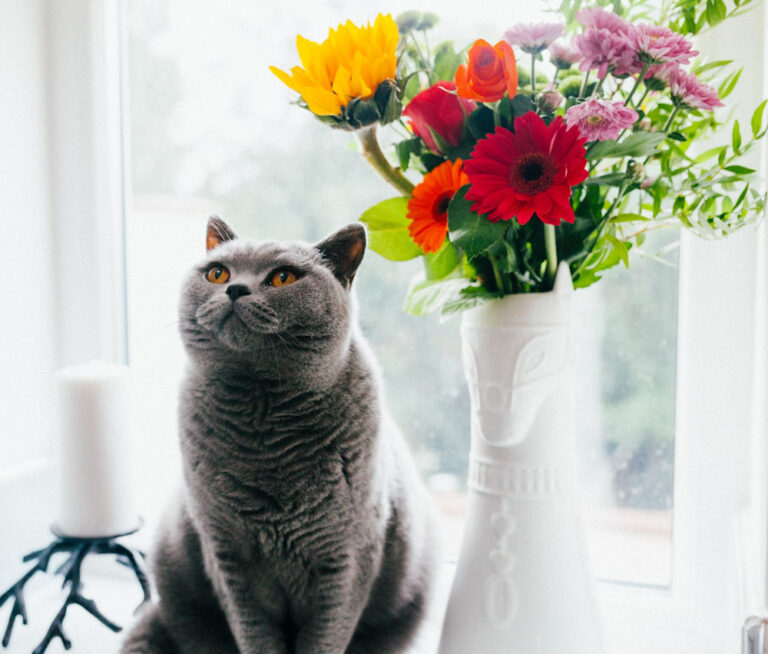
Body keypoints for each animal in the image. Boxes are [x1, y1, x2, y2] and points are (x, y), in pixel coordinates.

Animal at [118, 218, 436, 652]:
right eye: (217, 273)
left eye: (283, 277)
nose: (236, 289)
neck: (262, 420)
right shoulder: (228, 559)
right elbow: (255, 635)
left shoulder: (348, 560)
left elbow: (325, 638)